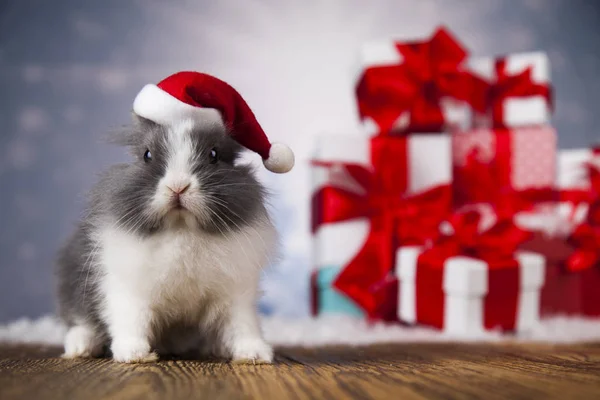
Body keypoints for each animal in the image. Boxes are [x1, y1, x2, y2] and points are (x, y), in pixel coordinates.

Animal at [55, 114, 280, 364]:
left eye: (213, 155)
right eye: (147, 155)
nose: (178, 186)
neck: (181, 229)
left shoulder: (236, 294)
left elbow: (242, 324)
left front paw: (254, 354)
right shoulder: (128, 289)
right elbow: (132, 320)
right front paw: (133, 354)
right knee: (81, 321)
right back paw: (80, 347)